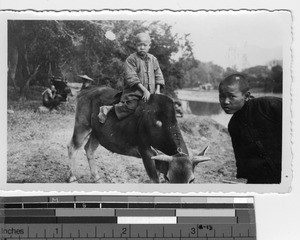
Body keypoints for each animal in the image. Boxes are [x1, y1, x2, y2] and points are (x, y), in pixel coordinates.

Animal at [67, 87, 209, 183]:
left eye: (192, 179)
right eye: (169, 178)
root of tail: (85, 92)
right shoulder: (146, 153)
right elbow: (154, 180)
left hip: (97, 134)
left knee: (89, 149)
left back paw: (96, 177)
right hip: (82, 126)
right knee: (72, 147)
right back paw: (72, 177)